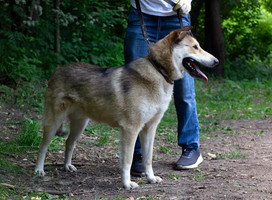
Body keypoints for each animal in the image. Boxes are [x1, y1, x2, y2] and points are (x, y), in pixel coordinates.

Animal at [34, 26, 219, 189]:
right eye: (195, 47)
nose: (216, 61)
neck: (159, 71)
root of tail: (58, 69)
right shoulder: (131, 129)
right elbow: (128, 160)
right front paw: (127, 184)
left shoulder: (149, 128)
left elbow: (147, 158)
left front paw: (151, 178)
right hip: (54, 122)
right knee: (43, 146)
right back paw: (39, 170)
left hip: (80, 125)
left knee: (68, 143)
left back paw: (67, 166)